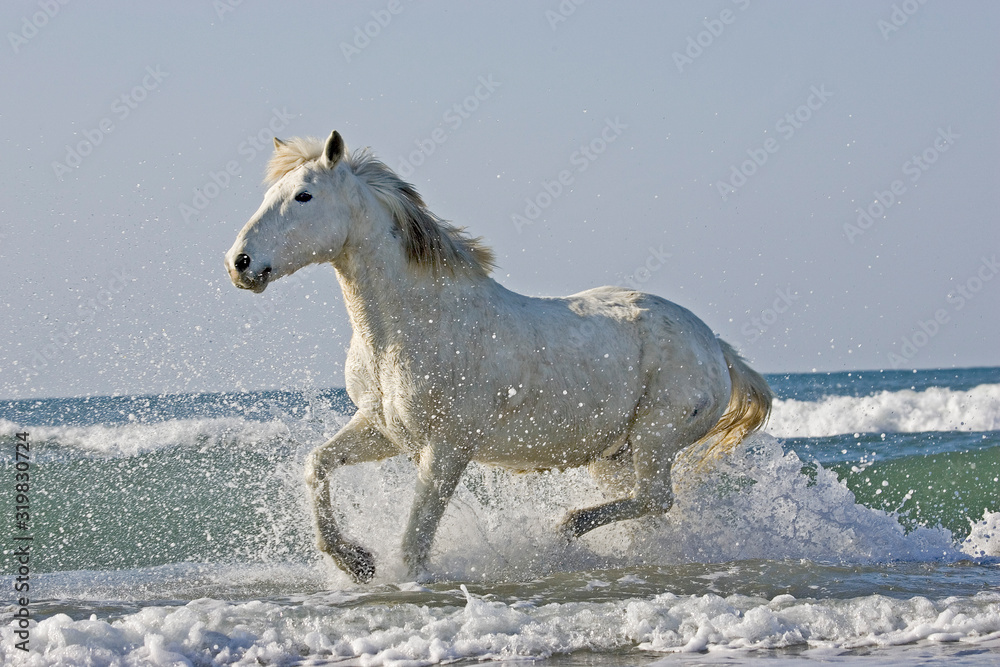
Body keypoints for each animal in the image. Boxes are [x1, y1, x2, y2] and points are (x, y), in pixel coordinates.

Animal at [227, 132, 772, 584]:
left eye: (304, 196)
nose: (239, 264)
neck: (412, 327)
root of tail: (715, 346)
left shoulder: (447, 448)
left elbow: (415, 538)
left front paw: (400, 576)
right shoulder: (382, 429)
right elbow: (317, 463)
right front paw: (356, 561)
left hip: (656, 437)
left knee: (656, 498)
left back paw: (564, 530)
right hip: (615, 454)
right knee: (653, 511)